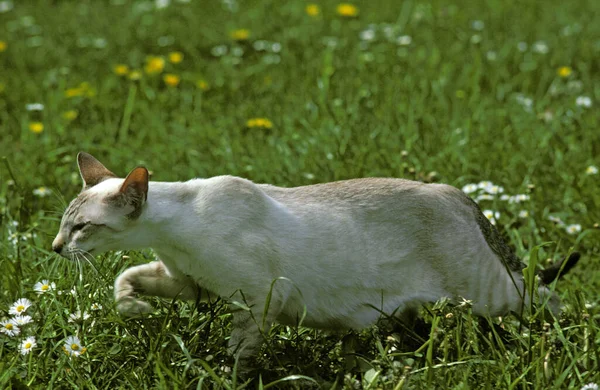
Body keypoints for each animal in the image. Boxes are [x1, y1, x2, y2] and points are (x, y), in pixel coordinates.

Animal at [54, 153, 580, 368]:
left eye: (81, 229)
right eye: (64, 224)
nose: (56, 248)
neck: (173, 235)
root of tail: (455, 191)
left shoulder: (259, 299)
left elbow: (238, 354)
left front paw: (227, 375)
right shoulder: (189, 284)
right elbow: (126, 279)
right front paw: (136, 310)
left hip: (490, 295)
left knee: (548, 296)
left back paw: (559, 343)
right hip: (419, 310)